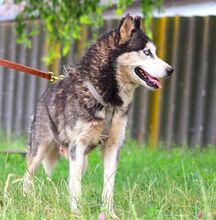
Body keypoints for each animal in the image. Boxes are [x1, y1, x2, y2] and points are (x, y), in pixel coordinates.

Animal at [22, 14, 173, 218]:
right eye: (147, 52)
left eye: (155, 52)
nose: (170, 70)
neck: (109, 100)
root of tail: (45, 93)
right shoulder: (77, 145)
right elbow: (75, 185)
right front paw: (76, 213)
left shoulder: (113, 146)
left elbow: (108, 186)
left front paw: (109, 213)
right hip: (41, 149)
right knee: (28, 175)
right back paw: (26, 198)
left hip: (81, 159)